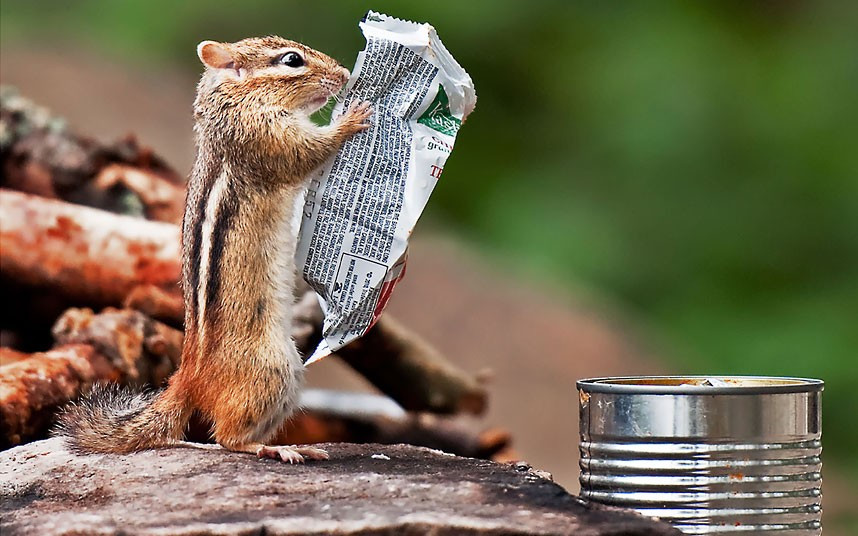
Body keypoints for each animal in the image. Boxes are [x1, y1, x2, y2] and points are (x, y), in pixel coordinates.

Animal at [55, 36, 372, 463]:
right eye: (292, 60)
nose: (344, 73)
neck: (236, 103)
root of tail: (188, 376)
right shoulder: (267, 138)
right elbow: (307, 151)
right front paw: (352, 119)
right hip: (272, 368)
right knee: (226, 437)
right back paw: (274, 448)